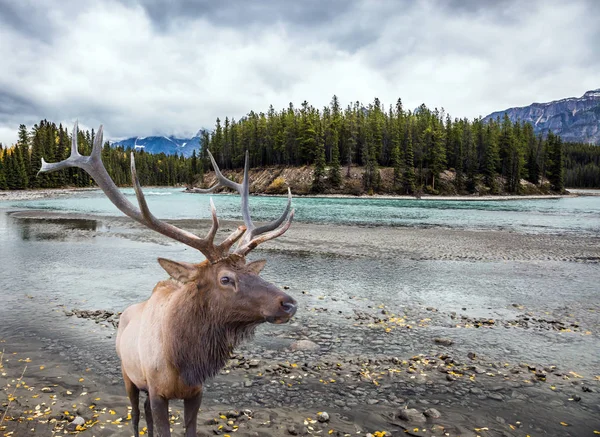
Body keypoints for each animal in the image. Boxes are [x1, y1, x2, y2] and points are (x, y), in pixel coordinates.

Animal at [39, 122, 298, 436]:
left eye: (251, 270)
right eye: (225, 279)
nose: (289, 303)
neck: (183, 362)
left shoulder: (196, 392)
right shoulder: (156, 389)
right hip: (128, 375)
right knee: (136, 414)